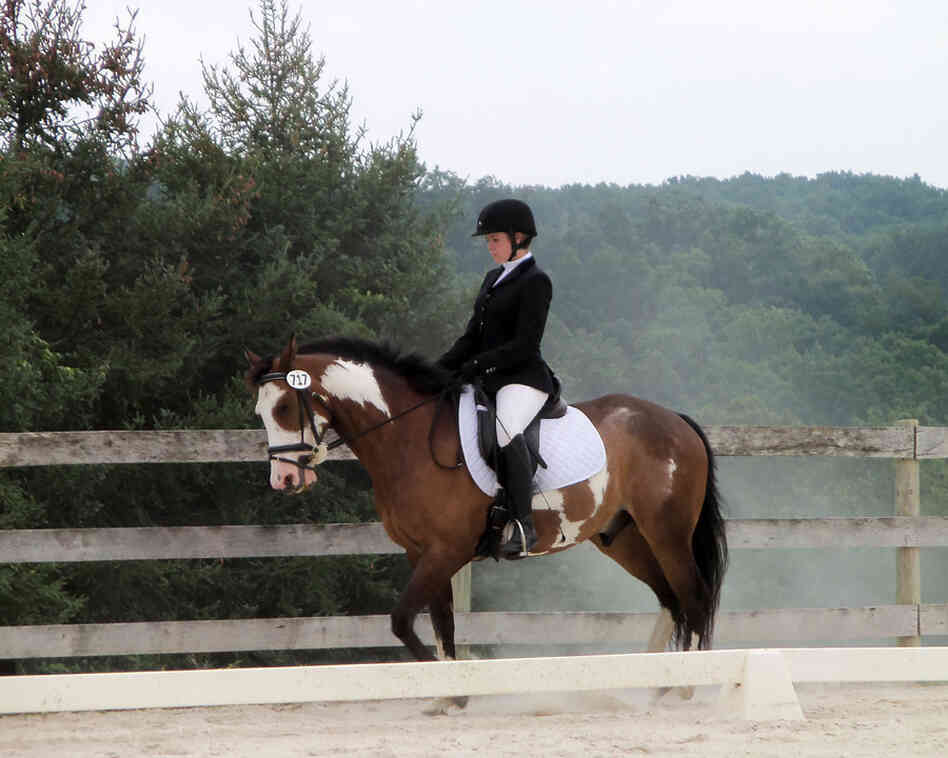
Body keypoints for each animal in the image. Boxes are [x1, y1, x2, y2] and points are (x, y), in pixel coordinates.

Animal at [246, 335, 728, 678]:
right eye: (260, 413)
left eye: (285, 406)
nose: (283, 480)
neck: (408, 439)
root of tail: (676, 420)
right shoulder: (422, 553)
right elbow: (441, 628)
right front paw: (445, 695)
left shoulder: (447, 551)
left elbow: (402, 620)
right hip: (623, 538)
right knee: (673, 600)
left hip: (667, 532)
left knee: (694, 597)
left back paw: (688, 686)